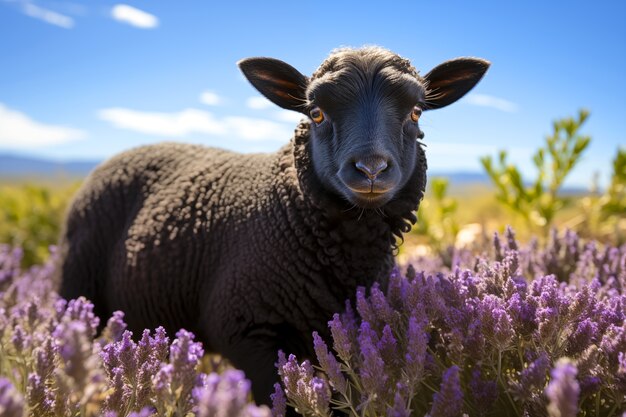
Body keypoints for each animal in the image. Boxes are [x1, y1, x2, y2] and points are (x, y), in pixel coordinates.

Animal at [57, 45, 488, 404]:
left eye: (416, 111)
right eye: (316, 112)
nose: (371, 169)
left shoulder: (345, 335)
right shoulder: (250, 335)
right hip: (78, 285)